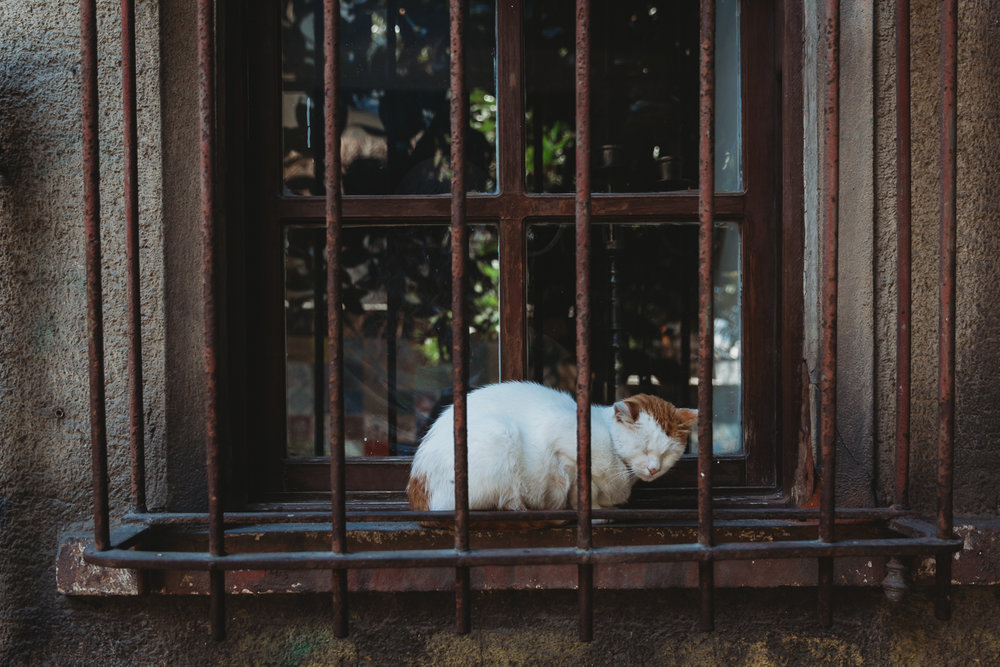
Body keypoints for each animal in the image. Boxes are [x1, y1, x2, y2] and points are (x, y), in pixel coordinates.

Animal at [406, 380, 696, 520]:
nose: (653, 468)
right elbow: (579, 487)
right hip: (499, 432)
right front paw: (592, 511)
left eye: (667, 454)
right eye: (644, 447)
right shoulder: (562, 443)